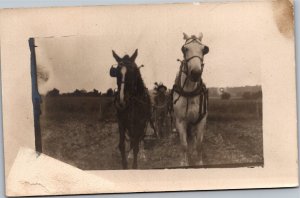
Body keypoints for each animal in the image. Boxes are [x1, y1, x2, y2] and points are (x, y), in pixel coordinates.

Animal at [172, 32, 210, 166]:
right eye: (185, 49)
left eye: (204, 50)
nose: (195, 73)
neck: (189, 92)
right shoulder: (180, 121)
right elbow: (184, 145)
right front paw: (184, 163)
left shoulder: (201, 119)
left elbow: (199, 144)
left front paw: (199, 162)